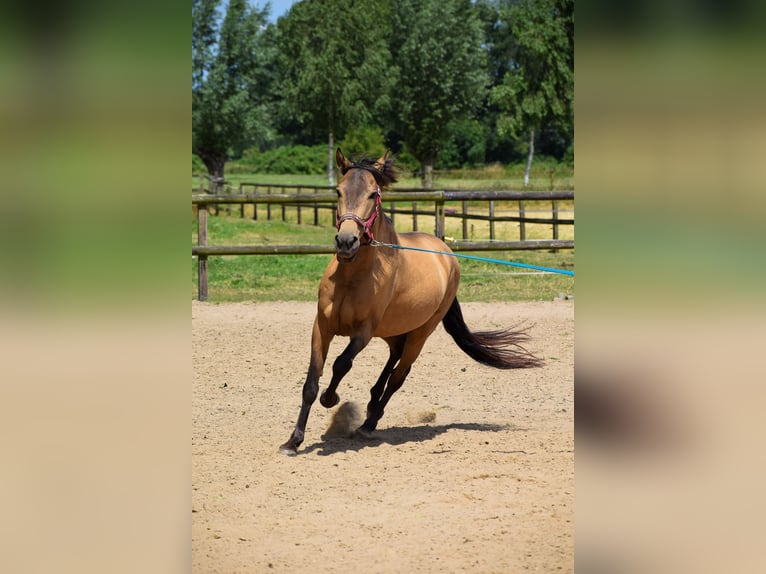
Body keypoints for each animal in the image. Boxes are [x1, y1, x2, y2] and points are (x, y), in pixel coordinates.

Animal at [280, 150, 544, 460]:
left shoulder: (363, 332)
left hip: (421, 333)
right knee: (394, 356)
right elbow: (311, 382)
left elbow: (342, 363)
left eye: (373, 194)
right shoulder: (322, 327)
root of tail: (446, 254)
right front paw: (292, 442)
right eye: (338, 191)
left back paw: (369, 423)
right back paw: (372, 405)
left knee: (399, 374)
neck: (353, 277)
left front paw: (330, 398)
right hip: (393, 330)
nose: (346, 242)